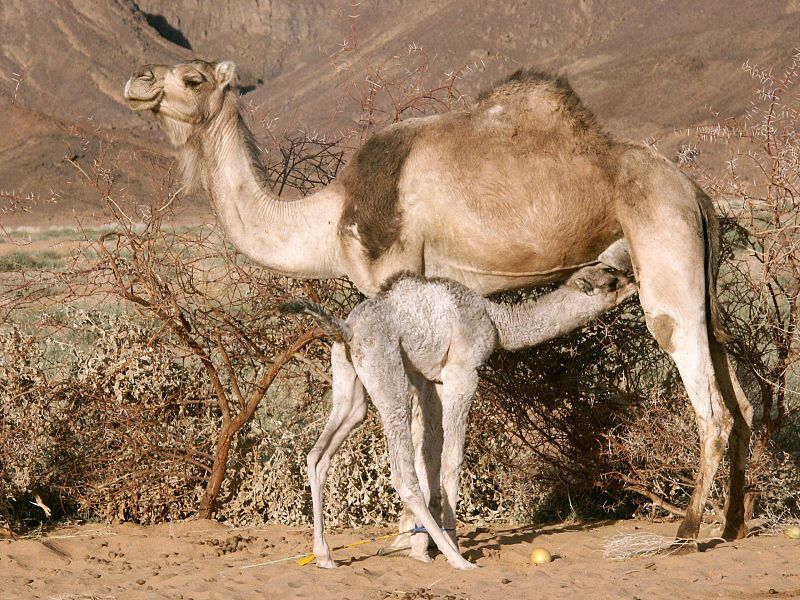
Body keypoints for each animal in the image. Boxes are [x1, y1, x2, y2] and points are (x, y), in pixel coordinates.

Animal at [282, 262, 636, 568]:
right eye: (611, 281)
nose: (635, 281)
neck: (496, 321)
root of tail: (348, 329)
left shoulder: (429, 380)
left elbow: (430, 459)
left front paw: (419, 550)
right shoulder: (461, 373)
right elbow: (451, 460)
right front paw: (447, 544)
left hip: (349, 380)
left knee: (319, 453)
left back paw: (325, 556)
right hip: (386, 372)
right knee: (401, 472)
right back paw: (457, 560)